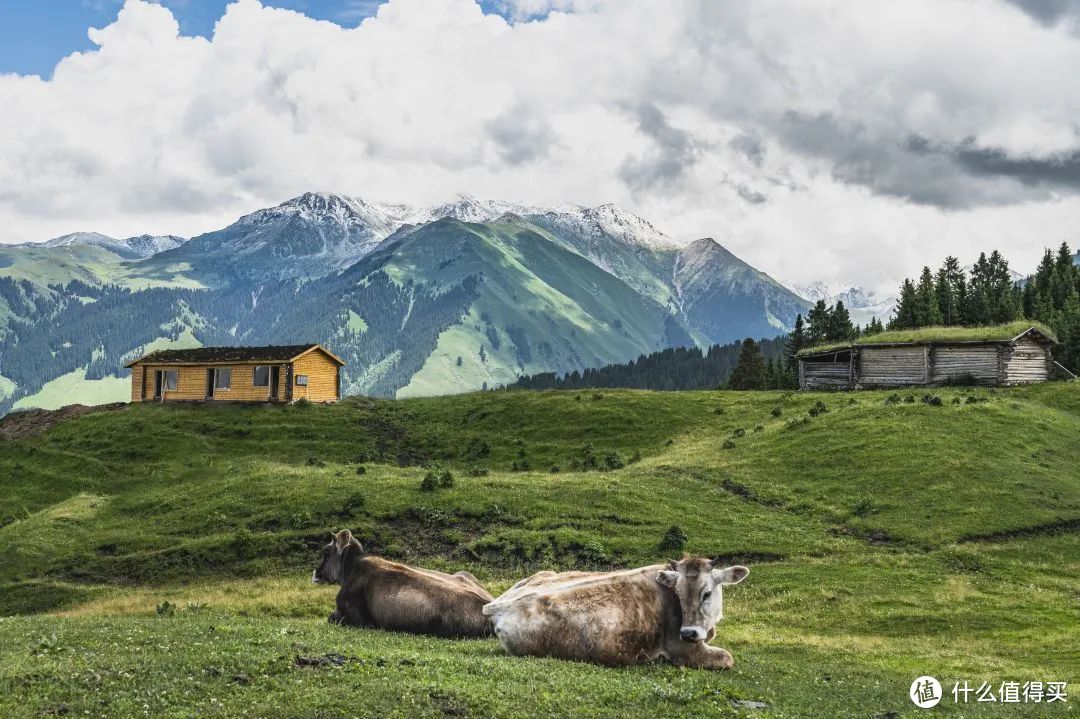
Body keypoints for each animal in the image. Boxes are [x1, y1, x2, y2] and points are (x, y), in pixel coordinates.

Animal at [483, 552, 747, 665]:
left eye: (707, 593)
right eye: (679, 594)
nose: (689, 633)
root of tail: (497, 606)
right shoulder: (684, 650)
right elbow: (728, 658)